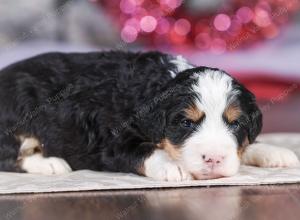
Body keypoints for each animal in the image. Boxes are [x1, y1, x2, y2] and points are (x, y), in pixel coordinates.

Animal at [0, 51, 298, 180]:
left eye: (235, 123)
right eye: (186, 123)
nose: (213, 159)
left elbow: (247, 144)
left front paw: (274, 152)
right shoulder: (112, 142)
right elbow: (145, 150)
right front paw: (172, 166)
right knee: (8, 157)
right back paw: (50, 164)